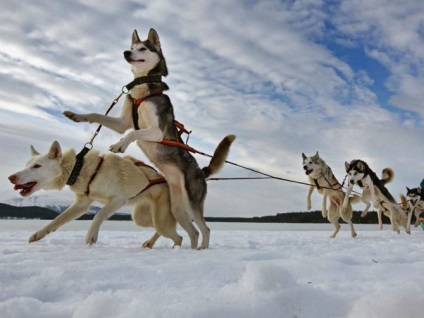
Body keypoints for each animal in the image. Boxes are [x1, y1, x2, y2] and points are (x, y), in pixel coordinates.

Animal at [7, 140, 184, 247]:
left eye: (37, 166)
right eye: (27, 165)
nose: (11, 177)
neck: (80, 168)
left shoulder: (118, 199)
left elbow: (98, 215)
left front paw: (90, 237)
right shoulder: (82, 204)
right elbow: (57, 220)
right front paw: (38, 234)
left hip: (158, 219)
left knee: (177, 236)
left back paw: (175, 247)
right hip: (142, 218)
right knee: (161, 230)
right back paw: (150, 243)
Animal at [63, 28, 235, 250]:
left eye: (143, 48)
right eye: (133, 47)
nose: (126, 52)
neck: (142, 91)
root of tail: (201, 171)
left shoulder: (156, 131)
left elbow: (133, 133)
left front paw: (120, 145)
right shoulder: (122, 123)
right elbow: (97, 116)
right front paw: (75, 115)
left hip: (192, 203)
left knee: (205, 229)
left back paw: (202, 249)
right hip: (177, 208)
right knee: (193, 232)